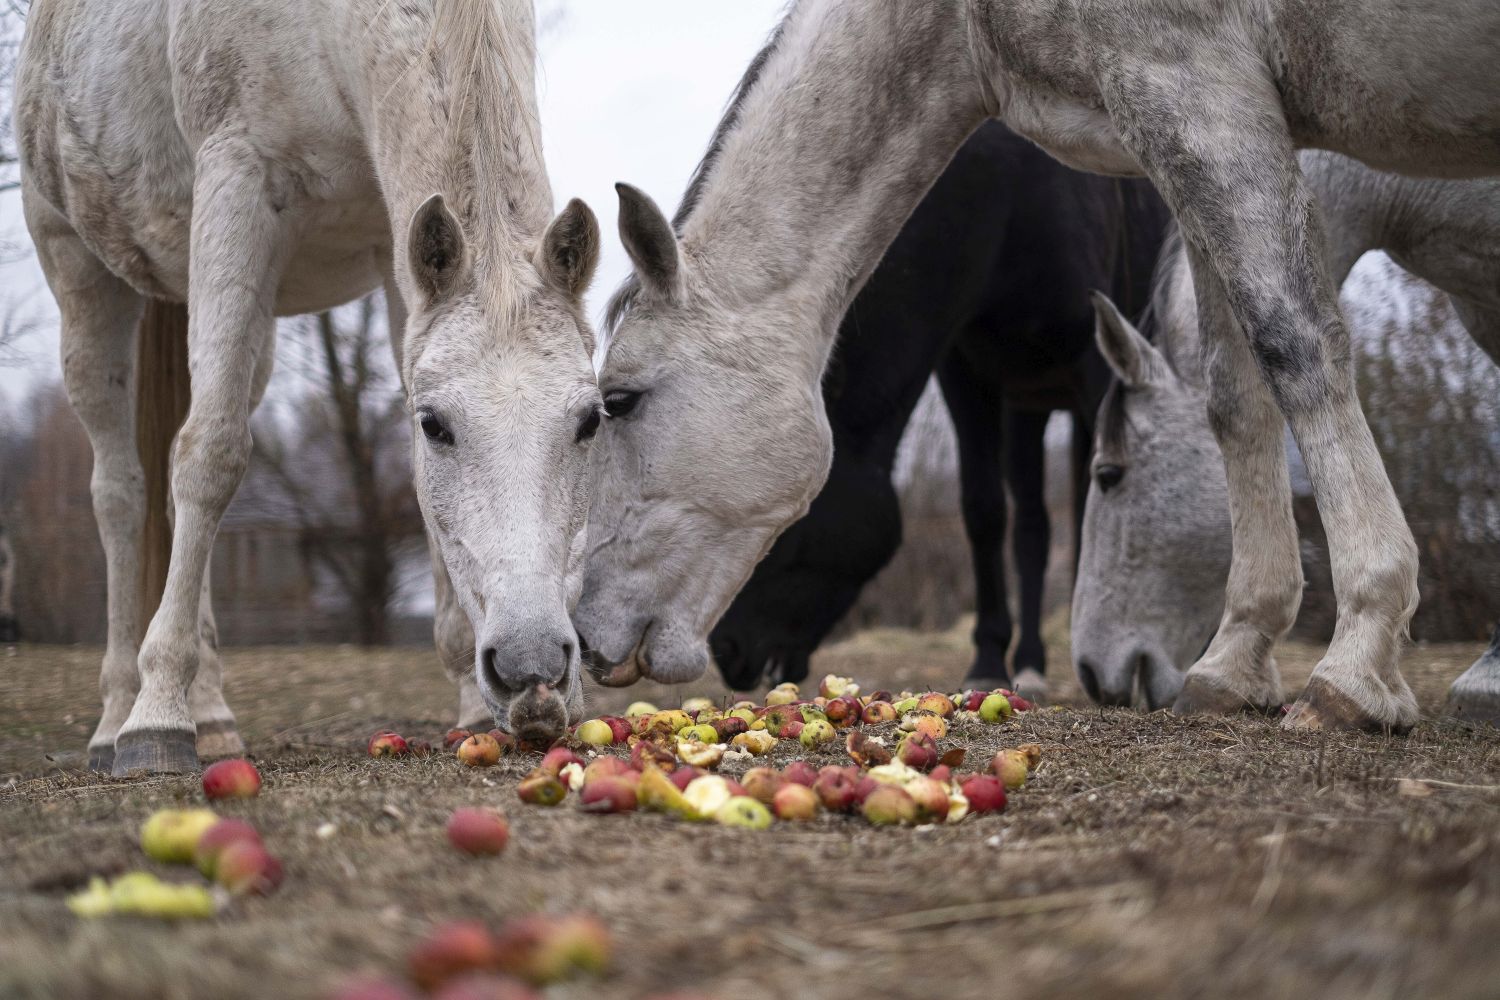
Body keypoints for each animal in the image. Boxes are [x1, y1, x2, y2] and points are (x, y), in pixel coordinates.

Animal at [16, 0, 601, 774]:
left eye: (591, 420)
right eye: (436, 425)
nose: (532, 670)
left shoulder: (395, 248)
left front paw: (473, 707)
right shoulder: (236, 183)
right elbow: (211, 456)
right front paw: (157, 715)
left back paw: (212, 714)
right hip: (79, 270)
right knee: (121, 492)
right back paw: (120, 718)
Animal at [707, 121, 1169, 697]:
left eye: (782, 513)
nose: (725, 652)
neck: (1014, 198)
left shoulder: (1097, 363)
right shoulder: (964, 372)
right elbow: (983, 509)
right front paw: (989, 661)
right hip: (1026, 407)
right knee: (1033, 528)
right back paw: (1031, 663)